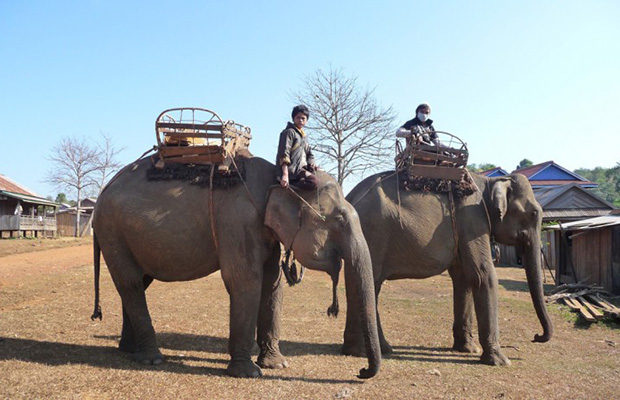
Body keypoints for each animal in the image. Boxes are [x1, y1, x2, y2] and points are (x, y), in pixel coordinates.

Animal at [91, 155, 382, 380]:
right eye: (338, 220)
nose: (361, 372)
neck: (279, 179)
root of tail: (104, 190)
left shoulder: (266, 230)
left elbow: (273, 283)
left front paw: (277, 365)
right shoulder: (238, 221)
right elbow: (245, 280)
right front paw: (248, 373)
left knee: (138, 283)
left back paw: (130, 351)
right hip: (112, 232)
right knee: (130, 282)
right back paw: (152, 359)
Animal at [344, 171, 552, 366]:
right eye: (534, 213)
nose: (536, 337)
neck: (490, 182)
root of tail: (350, 197)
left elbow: (464, 278)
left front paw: (468, 349)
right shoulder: (472, 220)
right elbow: (482, 275)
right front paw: (500, 361)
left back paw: (374, 349)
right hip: (373, 233)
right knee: (371, 282)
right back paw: (364, 352)